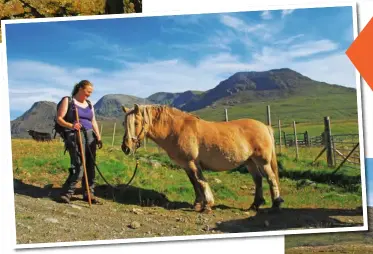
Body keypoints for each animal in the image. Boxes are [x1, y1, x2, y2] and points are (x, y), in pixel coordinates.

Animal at [120, 104, 282, 213]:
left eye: (136, 123)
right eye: (123, 123)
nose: (125, 148)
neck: (177, 130)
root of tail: (265, 126)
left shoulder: (192, 163)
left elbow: (201, 182)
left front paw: (208, 205)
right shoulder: (186, 165)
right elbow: (194, 183)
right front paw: (198, 204)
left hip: (262, 161)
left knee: (271, 178)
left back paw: (276, 203)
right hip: (250, 162)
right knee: (258, 179)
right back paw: (255, 204)